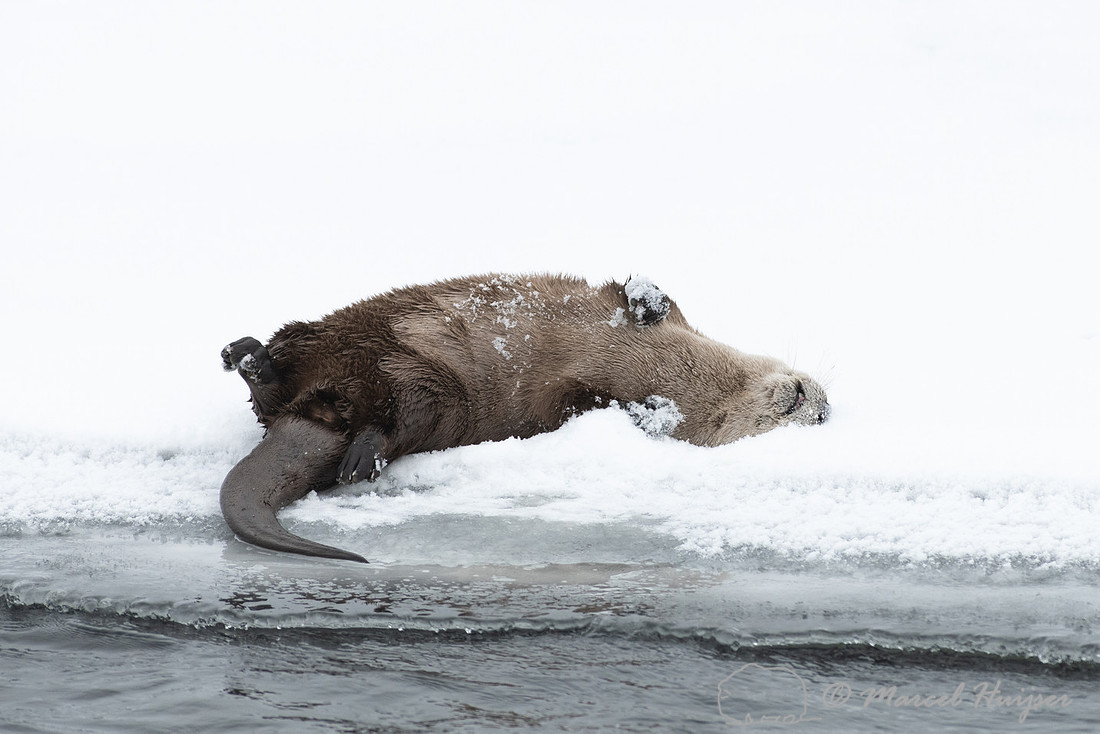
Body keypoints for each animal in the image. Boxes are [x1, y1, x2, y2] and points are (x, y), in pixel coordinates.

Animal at [220, 274, 829, 562]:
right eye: (797, 405)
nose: (818, 406)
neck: (694, 378)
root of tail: (322, 409)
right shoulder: (681, 327)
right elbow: (654, 304)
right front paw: (643, 295)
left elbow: (583, 404)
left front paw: (645, 414)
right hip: (342, 332)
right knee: (284, 362)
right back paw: (245, 354)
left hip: (433, 393)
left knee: (387, 417)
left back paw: (357, 454)